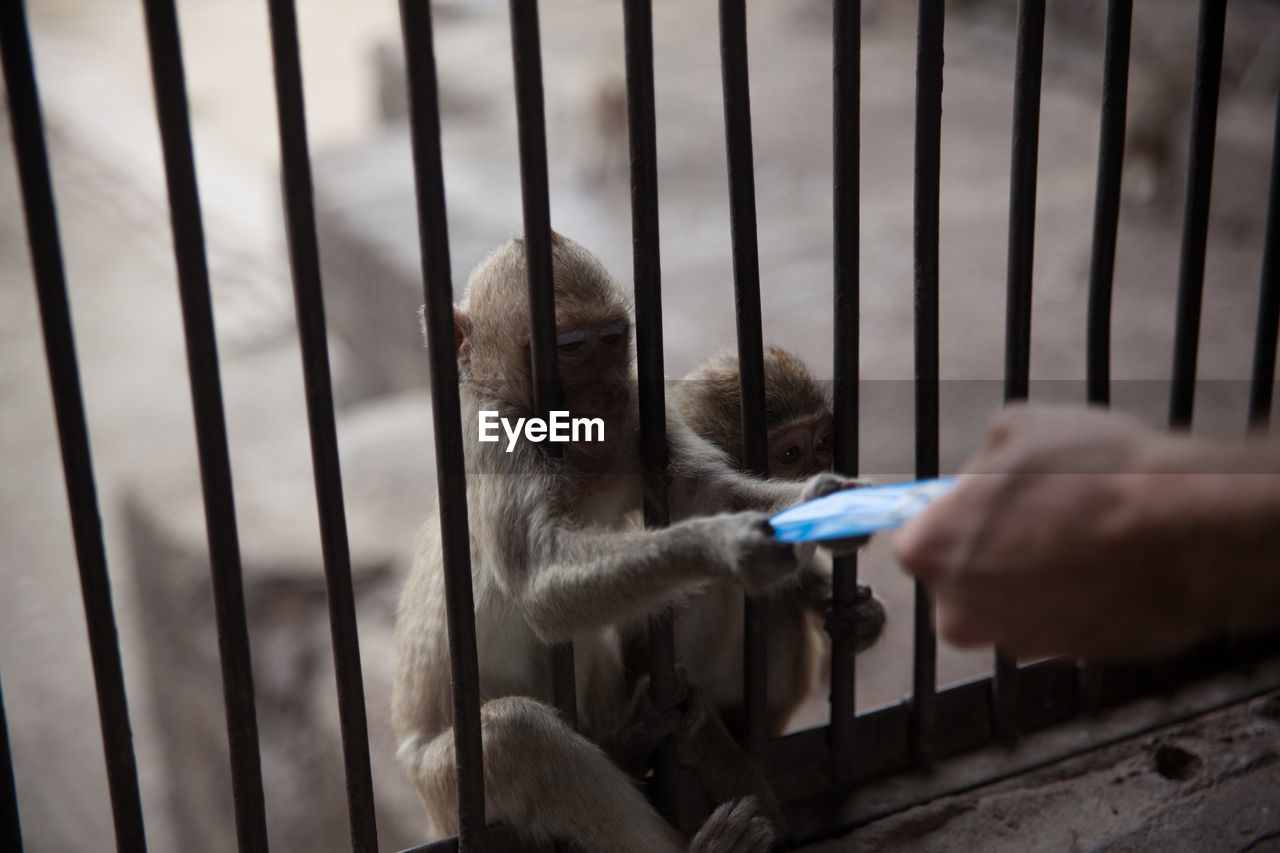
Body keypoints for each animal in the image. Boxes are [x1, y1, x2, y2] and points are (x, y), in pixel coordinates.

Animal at [389, 233, 849, 850]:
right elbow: (541, 585)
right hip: (445, 790)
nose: (601, 390)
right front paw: (723, 545)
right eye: (568, 347)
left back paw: (633, 742)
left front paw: (832, 502)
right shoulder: (493, 439)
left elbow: (709, 491)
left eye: (611, 339)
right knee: (516, 737)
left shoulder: (636, 410)